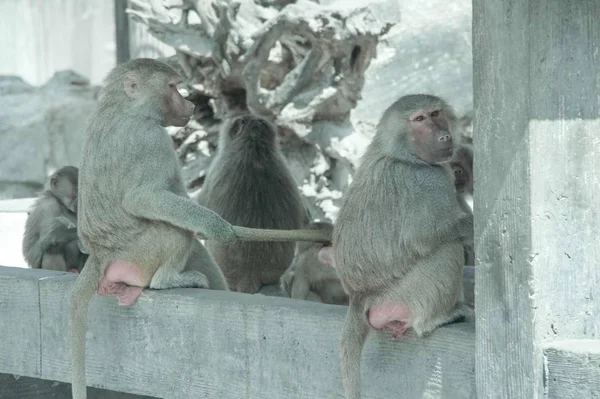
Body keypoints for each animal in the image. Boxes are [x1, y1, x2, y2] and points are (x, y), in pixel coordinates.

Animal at [332, 94, 474, 399]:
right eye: (419, 119)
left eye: (436, 113)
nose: (444, 136)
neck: (401, 153)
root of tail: (360, 296)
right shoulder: (430, 182)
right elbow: (428, 237)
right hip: (404, 293)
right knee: (448, 250)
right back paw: (437, 319)